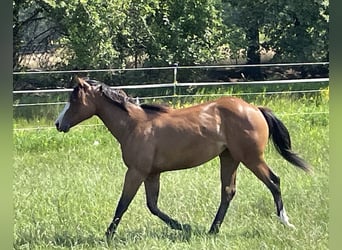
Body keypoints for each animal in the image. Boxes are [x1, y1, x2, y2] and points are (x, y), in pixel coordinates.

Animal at [55, 76, 310, 242]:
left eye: (74, 100)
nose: (58, 124)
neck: (134, 125)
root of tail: (254, 108)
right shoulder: (152, 174)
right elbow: (152, 206)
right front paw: (183, 227)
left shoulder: (136, 172)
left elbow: (123, 204)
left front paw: (107, 236)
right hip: (229, 158)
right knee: (228, 191)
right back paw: (212, 230)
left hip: (251, 158)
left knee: (274, 182)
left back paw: (285, 222)